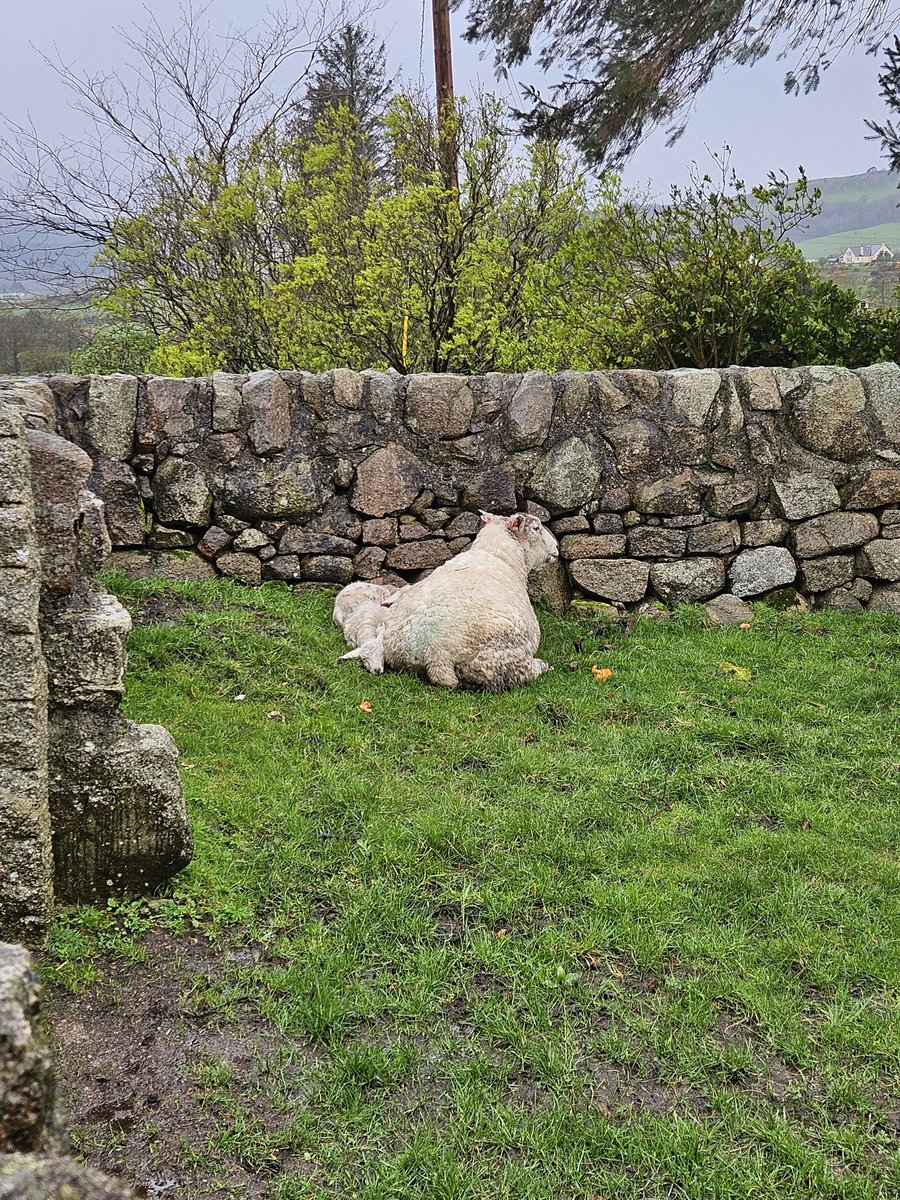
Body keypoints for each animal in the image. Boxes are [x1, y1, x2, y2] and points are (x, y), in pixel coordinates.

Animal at [335, 511, 559, 691]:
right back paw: (543, 665)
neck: (499, 555)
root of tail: (434, 653)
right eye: (537, 528)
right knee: (518, 674)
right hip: (500, 659)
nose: (556, 547)